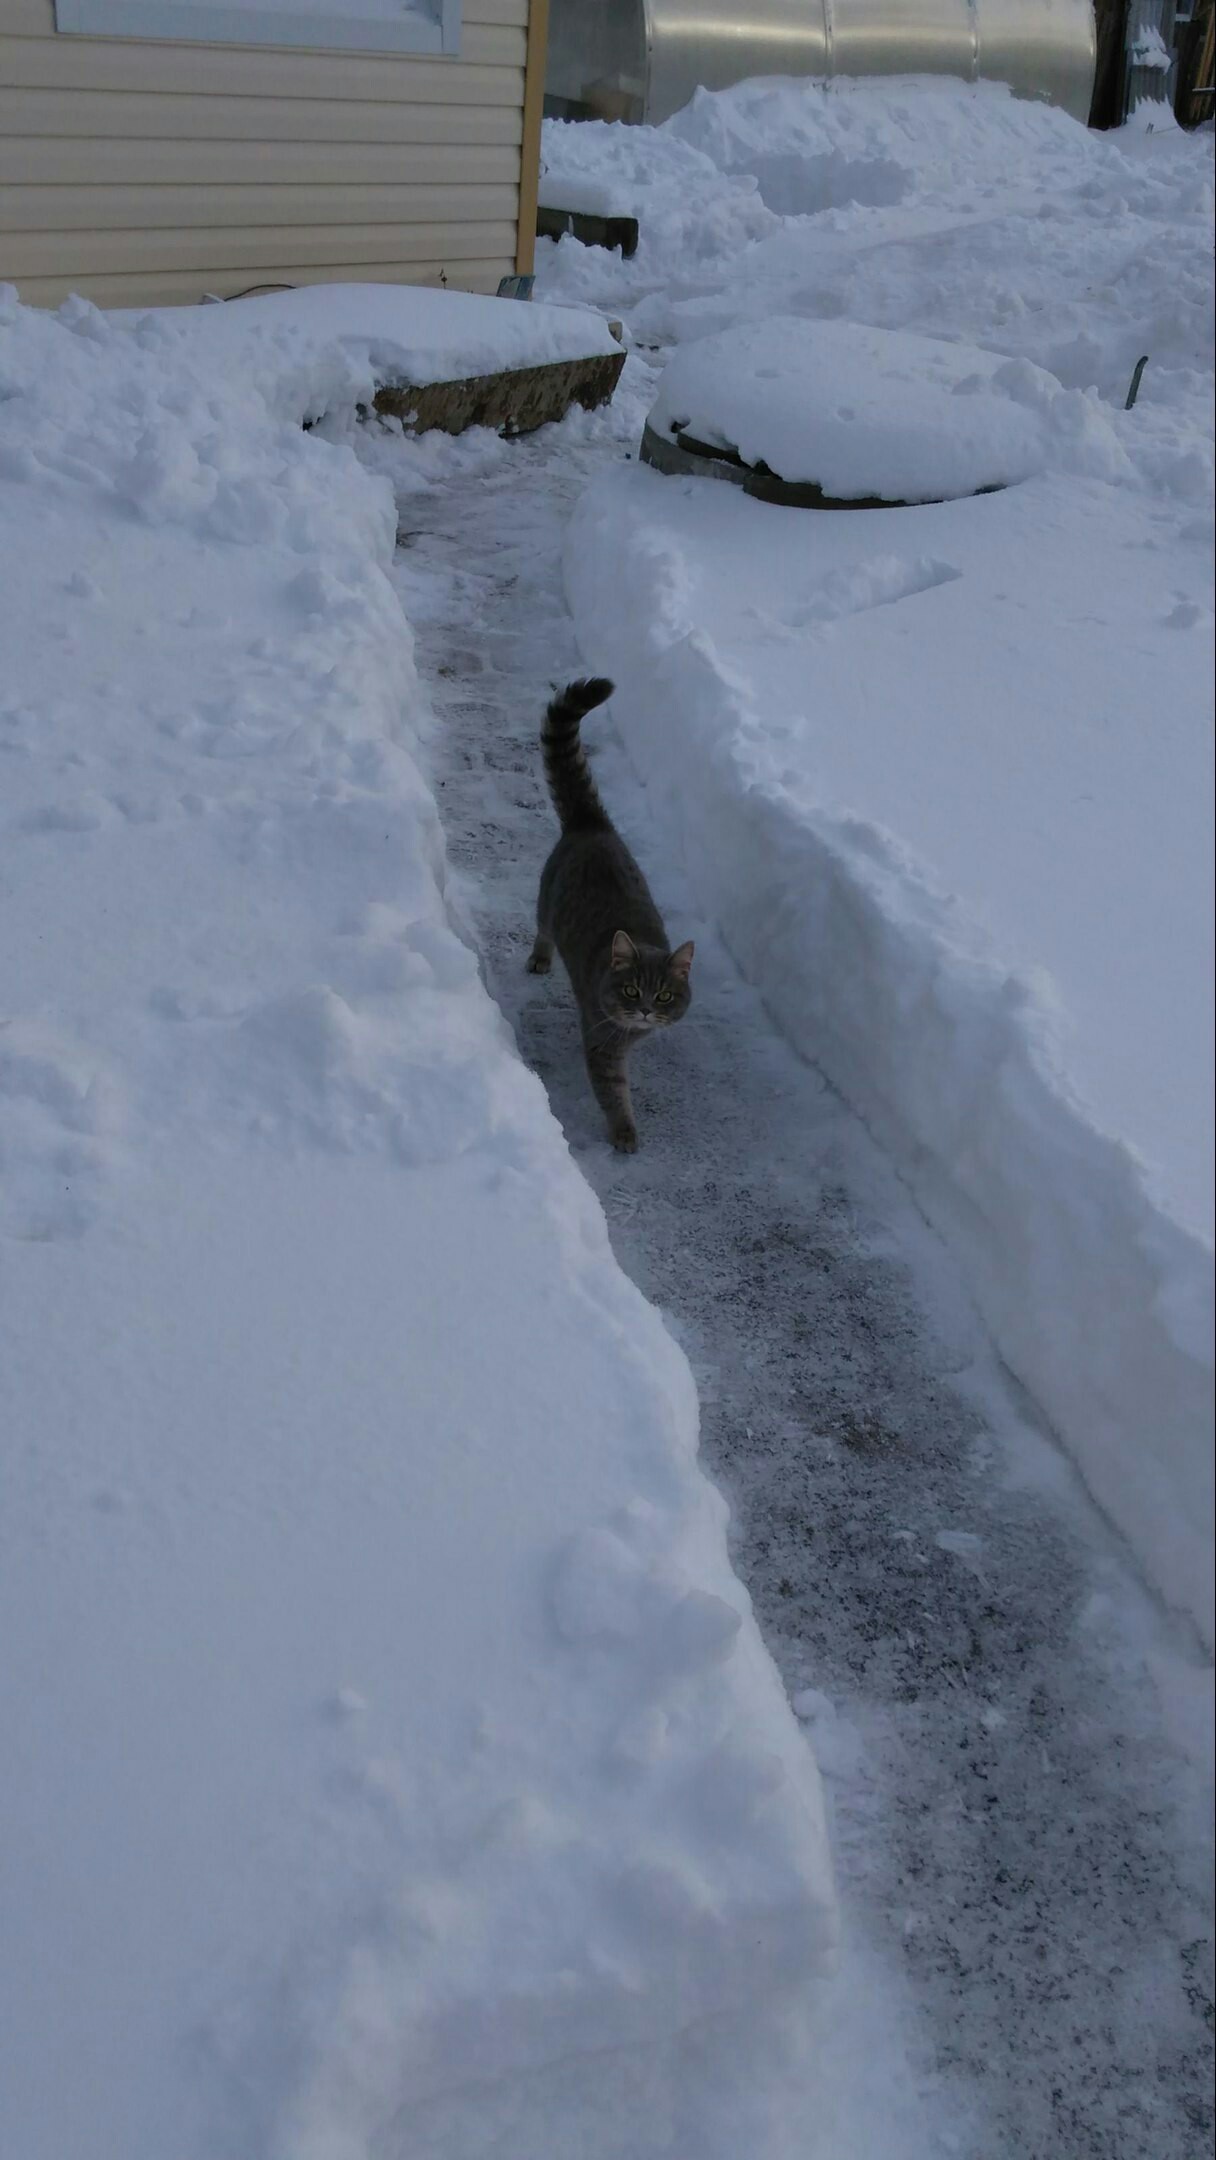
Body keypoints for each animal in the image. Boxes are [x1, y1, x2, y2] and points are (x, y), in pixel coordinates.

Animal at [524, 678, 691, 1157]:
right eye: (632, 990)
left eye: (665, 996)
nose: (646, 1012)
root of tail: (592, 823)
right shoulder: (603, 1043)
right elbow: (613, 1090)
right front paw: (624, 1132)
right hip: (547, 902)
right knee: (542, 928)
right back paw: (540, 957)